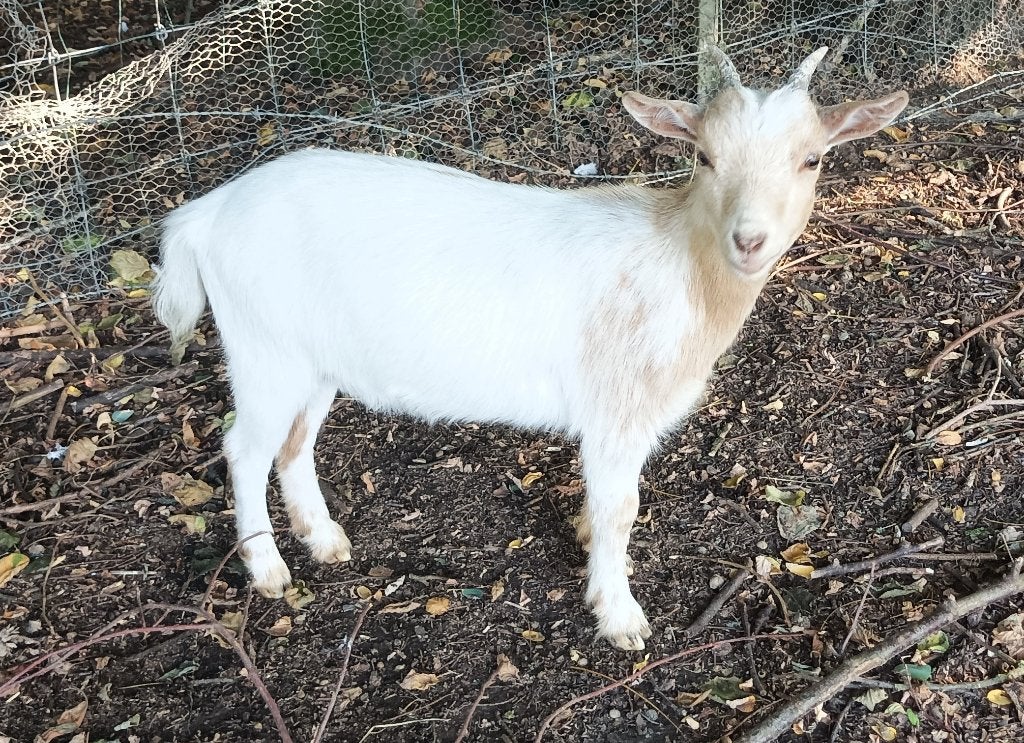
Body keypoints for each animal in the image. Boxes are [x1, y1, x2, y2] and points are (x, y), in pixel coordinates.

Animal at [154, 46, 907, 650]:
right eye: (704, 156)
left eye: (812, 158)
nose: (749, 241)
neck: (678, 262)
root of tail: (204, 215)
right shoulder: (614, 412)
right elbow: (621, 510)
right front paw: (619, 615)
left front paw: (584, 540)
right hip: (265, 349)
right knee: (243, 448)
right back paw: (268, 569)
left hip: (311, 360)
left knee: (293, 443)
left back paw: (325, 539)